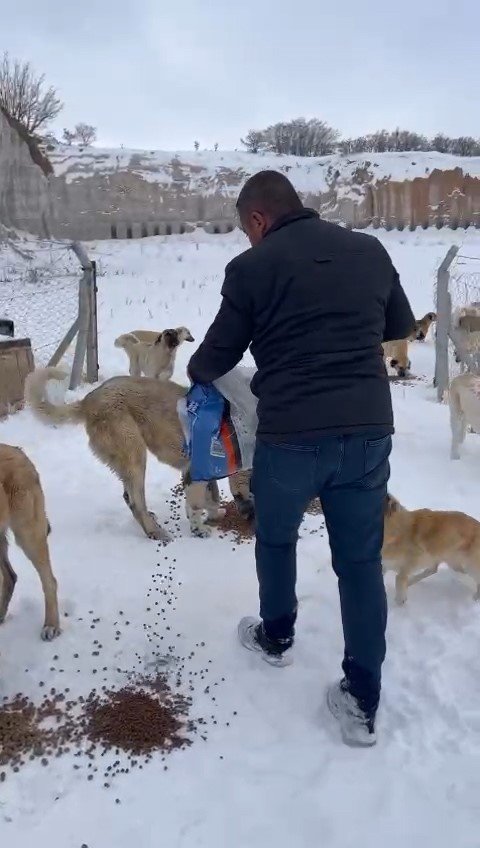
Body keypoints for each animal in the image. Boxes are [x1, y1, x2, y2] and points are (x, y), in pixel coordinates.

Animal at [24, 370, 251, 544]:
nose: (249, 520)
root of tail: (89, 400)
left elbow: (212, 496)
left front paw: (213, 514)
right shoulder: (194, 473)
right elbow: (197, 503)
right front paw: (198, 529)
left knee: (128, 497)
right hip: (135, 454)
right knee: (135, 501)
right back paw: (154, 531)